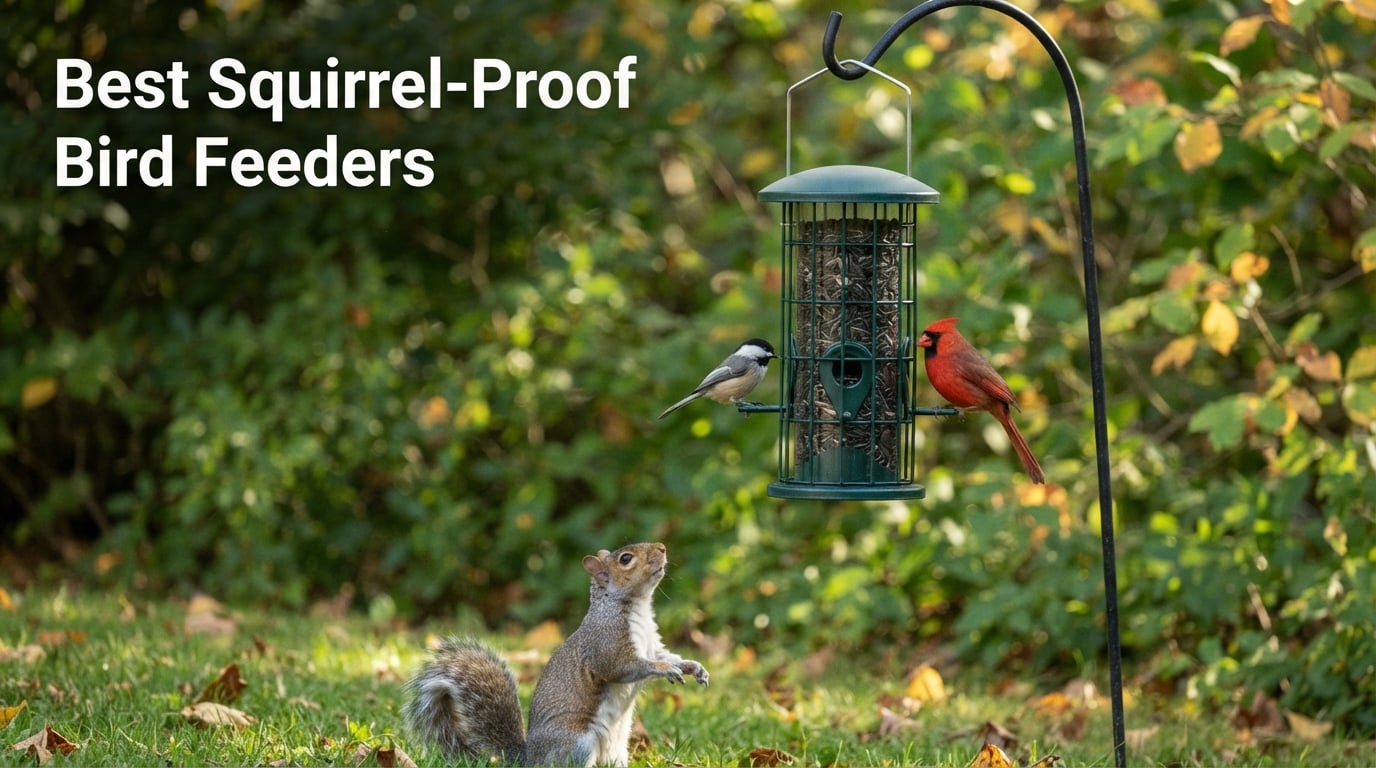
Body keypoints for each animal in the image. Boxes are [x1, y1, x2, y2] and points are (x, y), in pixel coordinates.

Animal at [403, 542, 710, 767]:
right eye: (626, 559)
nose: (662, 548)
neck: (636, 608)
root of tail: (530, 760)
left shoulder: (652, 644)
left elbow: (666, 655)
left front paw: (693, 666)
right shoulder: (607, 644)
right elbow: (623, 667)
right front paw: (664, 670)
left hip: (616, 751)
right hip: (578, 745)